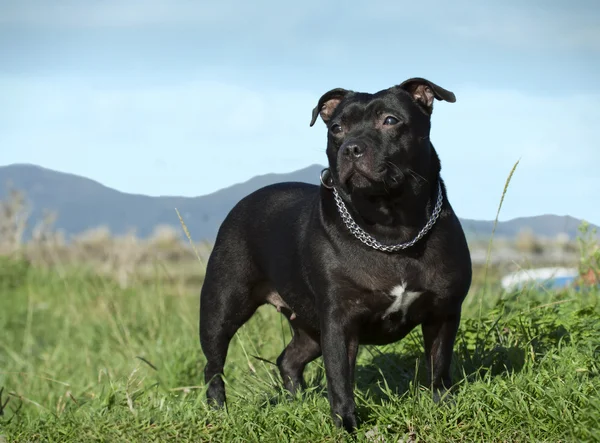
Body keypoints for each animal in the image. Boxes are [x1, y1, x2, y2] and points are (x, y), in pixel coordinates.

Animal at [202, 78, 474, 432]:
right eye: (336, 128)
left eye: (390, 120)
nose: (351, 148)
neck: (391, 228)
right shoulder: (339, 321)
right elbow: (341, 381)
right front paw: (346, 425)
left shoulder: (443, 312)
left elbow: (439, 365)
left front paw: (443, 407)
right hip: (223, 307)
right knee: (213, 364)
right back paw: (217, 411)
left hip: (309, 325)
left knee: (288, 358)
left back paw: (296, 401)